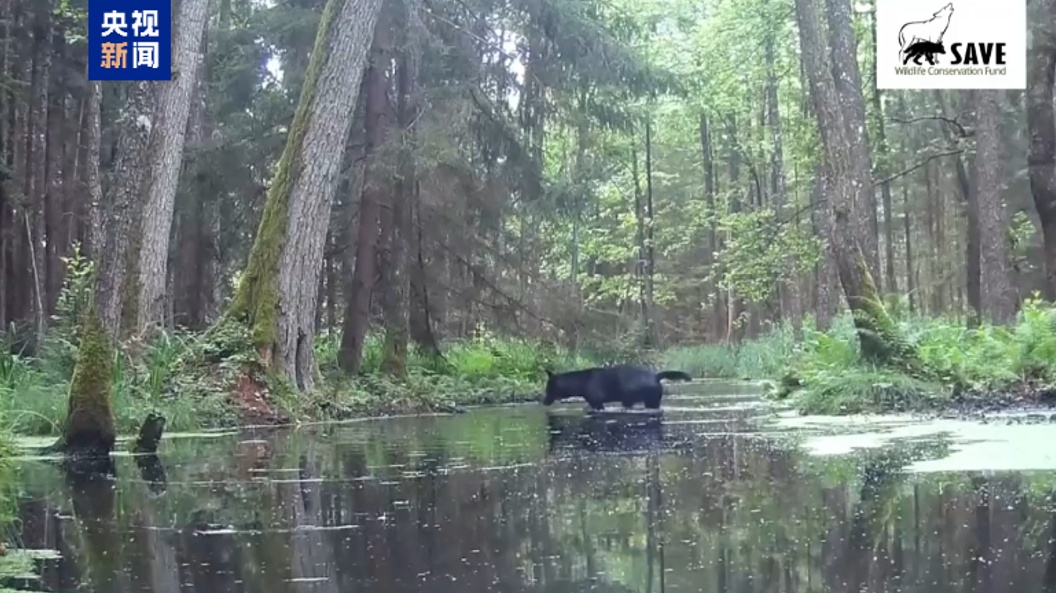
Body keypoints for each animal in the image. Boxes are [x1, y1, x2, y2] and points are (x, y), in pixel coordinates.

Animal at [544, 362, 692, 409]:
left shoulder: (597, 403)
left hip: (640, 399)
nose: (543, 401)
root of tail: (655, 376)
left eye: (549, 388)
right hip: (652, 401)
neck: (580, 382)